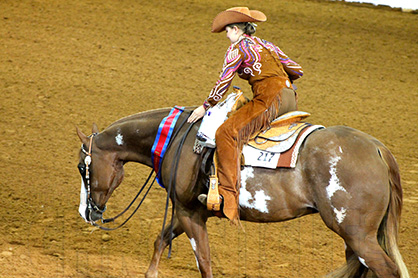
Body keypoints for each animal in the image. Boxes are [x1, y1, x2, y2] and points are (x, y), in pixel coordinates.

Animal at [75, 107, 408, 278]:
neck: (178, 138)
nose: (86, 213)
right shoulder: (188, 209)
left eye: (81, 167)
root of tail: (378, 148)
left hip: (357, 235)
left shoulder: (188, 212)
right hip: (356, 238)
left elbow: (204, 261)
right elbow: (163, 239)